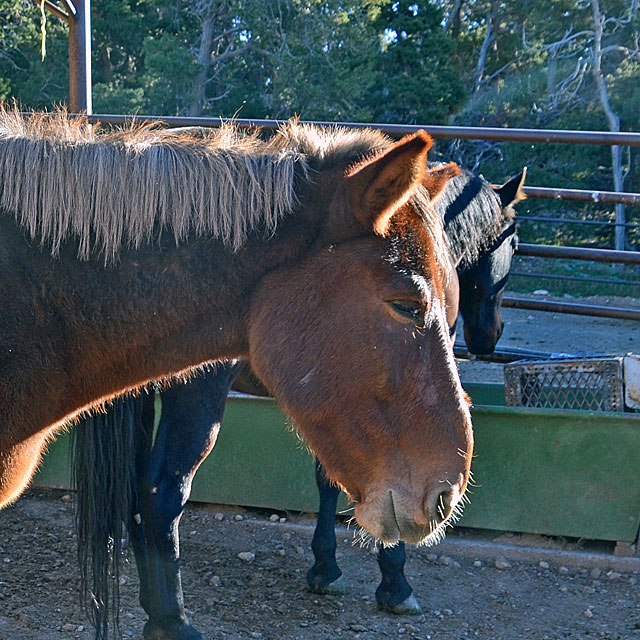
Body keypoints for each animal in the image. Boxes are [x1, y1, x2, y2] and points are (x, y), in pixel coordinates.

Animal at [0, 110, 472, 636]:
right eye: (407, 305)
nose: (447, 493)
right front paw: (392, 580)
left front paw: (328, 567)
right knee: (162, 491)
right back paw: (172, 618)